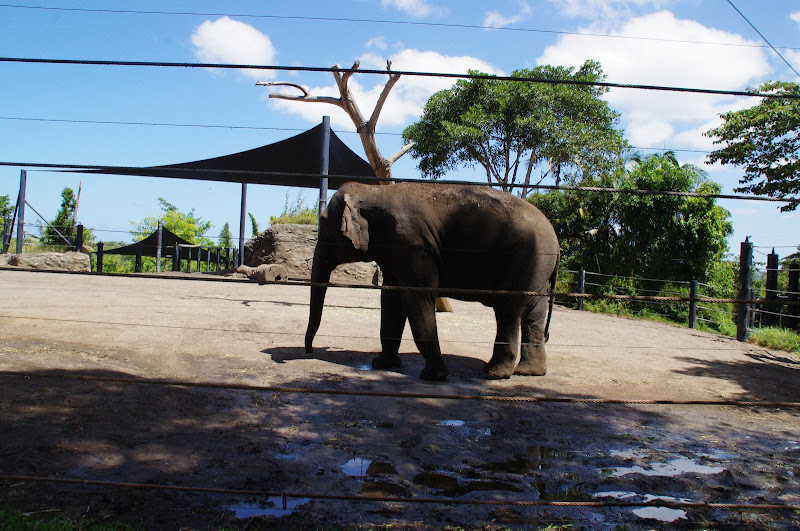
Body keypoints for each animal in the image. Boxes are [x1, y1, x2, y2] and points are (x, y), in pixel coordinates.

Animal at [304, 181, 560, 381]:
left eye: (324, 224)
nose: (309, 352)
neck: (372, 190)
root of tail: (556, 240)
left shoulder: (412, 244)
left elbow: (418, 295)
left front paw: (433, 376)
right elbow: (391, 298)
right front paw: (382, 364)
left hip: (527, 257)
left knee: (507, 309)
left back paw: (494, 374)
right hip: (537, 267)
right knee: (534, 314)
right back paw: (530, 372)